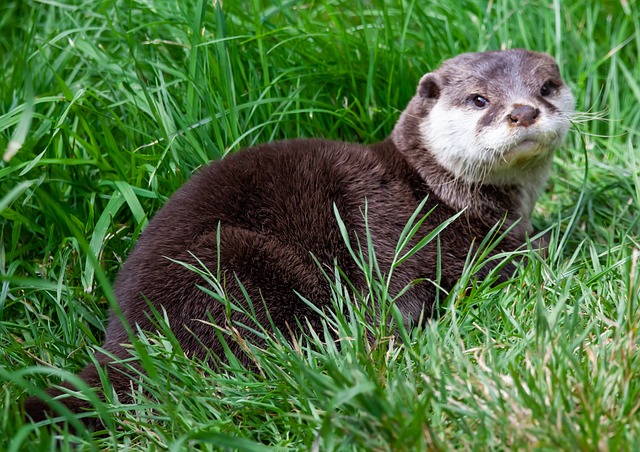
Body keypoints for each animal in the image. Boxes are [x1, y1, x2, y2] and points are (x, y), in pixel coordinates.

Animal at [23, 47, 576, 422]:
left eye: (546, 87)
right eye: (479, 99)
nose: (523, 110)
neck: (437, 190)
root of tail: (128, 338)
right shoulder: (408, 234)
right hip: (231, 262)